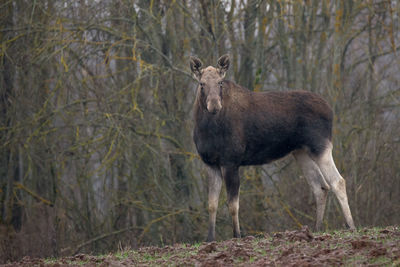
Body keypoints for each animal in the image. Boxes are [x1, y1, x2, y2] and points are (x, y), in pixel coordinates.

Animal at [191, 54, 356, 243]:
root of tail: (331, 110)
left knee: (338, 181)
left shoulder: (231, 161)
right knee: (320, 187)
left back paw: (351, 226)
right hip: (301, 152)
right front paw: (209, 239)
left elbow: (233, 204)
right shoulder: (211, 163)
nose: (214, 105)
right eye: (201, 83)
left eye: (220, 82)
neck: (207, 128)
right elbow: (212, 204)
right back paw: (316, 229)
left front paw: (237, 236)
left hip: (320, 146)